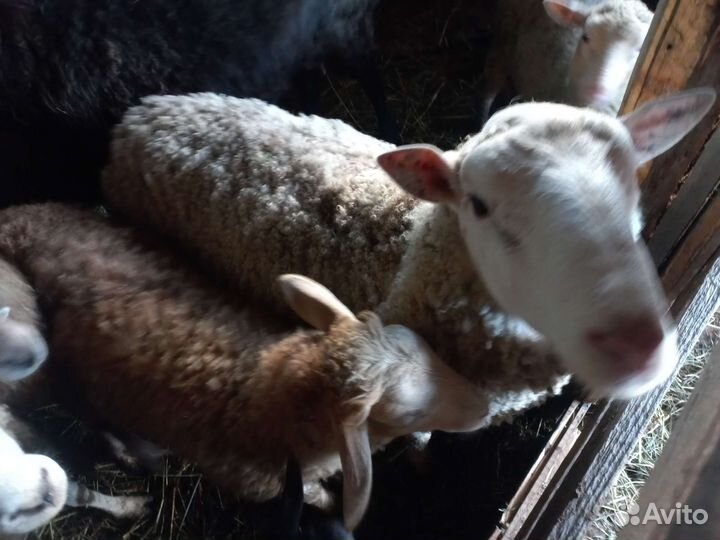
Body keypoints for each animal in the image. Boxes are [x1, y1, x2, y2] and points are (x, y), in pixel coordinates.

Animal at [0, 203, 491, 532]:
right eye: (408, 412)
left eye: (424, 346)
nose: (485, 409)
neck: (263, 393)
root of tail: (15, 218)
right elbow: (317, 496)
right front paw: (332, 503)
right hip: (62, 380)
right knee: (95, 419)